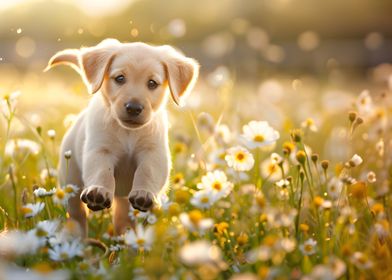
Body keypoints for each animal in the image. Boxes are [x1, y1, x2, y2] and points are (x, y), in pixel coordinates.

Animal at [46, 39, 199, 235]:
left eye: (152, 83)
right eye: (120, 78)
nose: (133, 107)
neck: (128, 132)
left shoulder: (154, 153)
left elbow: (147, 171)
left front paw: (144, 194)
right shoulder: (100, 150)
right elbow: (102, 172)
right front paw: (98, 191)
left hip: (124, 202)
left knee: (122, 219)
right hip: (71, 181)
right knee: (77, 215)